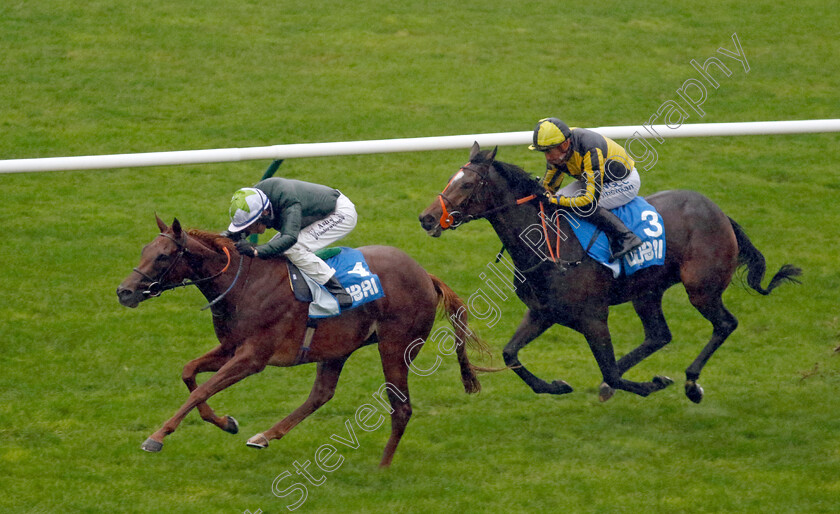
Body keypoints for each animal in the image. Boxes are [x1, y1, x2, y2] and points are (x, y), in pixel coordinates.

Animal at [115, 214, 488, 466]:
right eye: (145, 249)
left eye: (163, 256)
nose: (124, 291)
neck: (242, 283)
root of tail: (426, 274)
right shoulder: (231, 348)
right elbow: (189, 372)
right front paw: (226, 423)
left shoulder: (253, 357)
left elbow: (203, 388)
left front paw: (156, 437)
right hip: (339, 347)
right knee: (321, 395)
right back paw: (264, 436)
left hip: (396, 346)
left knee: (402, 408)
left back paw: (382, 467)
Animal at [420, 142, 800, 402]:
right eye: (451, 179)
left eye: (466, 185)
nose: (426, 218)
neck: (548, 244)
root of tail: (719, 212)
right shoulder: (543, 313)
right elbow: (510, 354)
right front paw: (556, 386)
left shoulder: (593, 317)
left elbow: (612, 371)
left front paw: (651, 384)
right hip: (647, 291)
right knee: (659, 335)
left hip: (700, 288)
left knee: (724, 324)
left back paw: (692, 383)